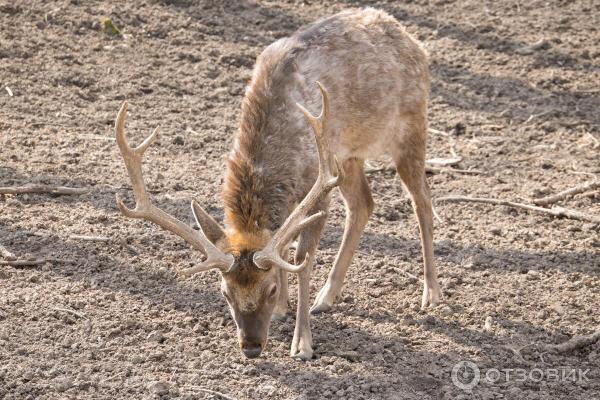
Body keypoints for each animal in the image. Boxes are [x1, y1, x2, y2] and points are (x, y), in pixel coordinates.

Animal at [113, 7, 440, 360]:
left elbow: (301, 259)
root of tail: (408, 36)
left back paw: (431, 293)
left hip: (410, 124)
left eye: (267, 289)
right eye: (225, 293)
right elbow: (281, 245)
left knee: (422, 199)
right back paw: (327, 295)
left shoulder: (318, 182)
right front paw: (285, 309)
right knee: (363, 203)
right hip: (349, 154)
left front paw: (302, 343)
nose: (251, 347)